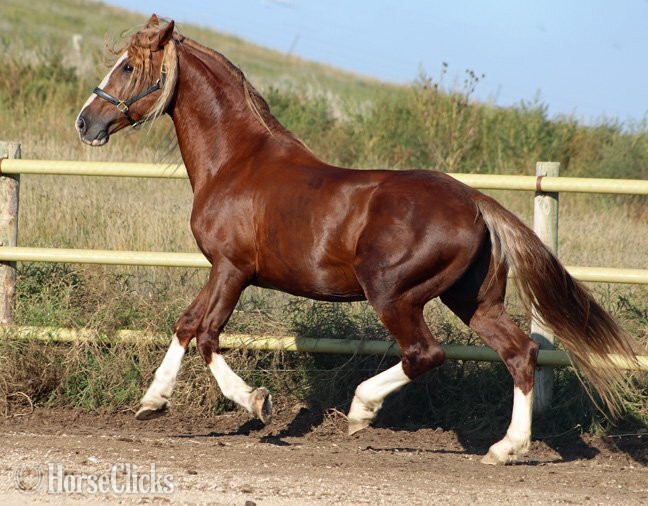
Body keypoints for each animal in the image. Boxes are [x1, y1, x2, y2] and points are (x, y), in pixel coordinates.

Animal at [75, 15, 639, 465]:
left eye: (127, 67)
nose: (86, 122)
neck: (236, 160)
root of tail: (477, 201)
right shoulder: (222, 269)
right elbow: (187, 325)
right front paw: (152, 401)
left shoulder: (232, 269)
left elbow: (207, 333)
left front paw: (257, 402)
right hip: (473, 300)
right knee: (520, 353)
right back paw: (505, 449)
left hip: (392, 293)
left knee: (425, 353)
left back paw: (362, 410)